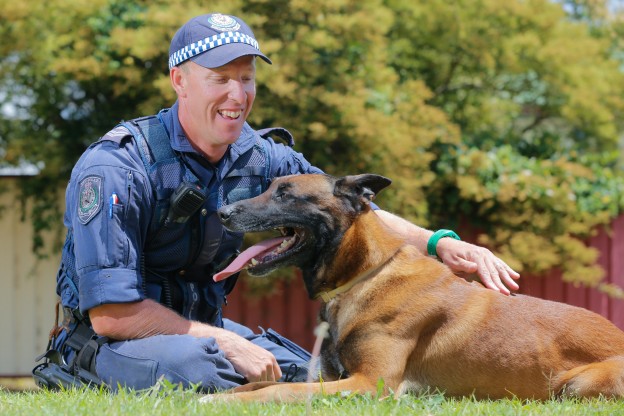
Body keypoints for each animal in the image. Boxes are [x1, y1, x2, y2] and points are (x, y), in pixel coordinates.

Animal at [207, 173, 624, 404]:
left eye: (285, 194)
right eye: (271, 189)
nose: (222, 213)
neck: (366, 274)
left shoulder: (368, 384)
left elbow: (277, 390)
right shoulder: (331, 377)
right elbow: (253, 386)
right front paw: (213, 397)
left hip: (577, 384)